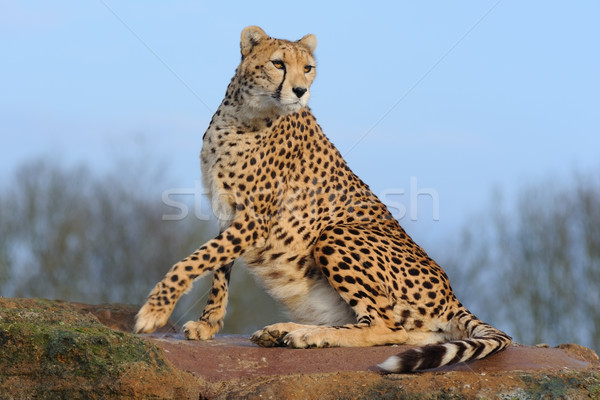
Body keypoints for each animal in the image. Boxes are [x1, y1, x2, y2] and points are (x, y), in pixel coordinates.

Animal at [136, 26, 510, 374]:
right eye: (278, 64)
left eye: (308, 68)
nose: (300, 91)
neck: (244, 114)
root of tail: (451, 293)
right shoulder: (229, 212)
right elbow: (218, 266)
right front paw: (208, 322)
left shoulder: (254, 219)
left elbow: (195, 260)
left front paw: (155, 309)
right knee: (405, 331)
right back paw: (282, 331)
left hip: (336, 232)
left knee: (387, 327)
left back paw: (306, 334)